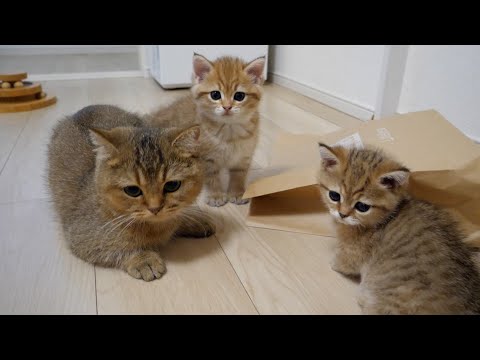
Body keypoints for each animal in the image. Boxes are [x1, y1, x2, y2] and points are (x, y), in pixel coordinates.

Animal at [47, 104, 215, 282]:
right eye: (133, 190)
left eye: (172, 185)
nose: (155, 208)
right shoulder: (81, 237)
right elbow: (118, 249)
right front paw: (143, 259)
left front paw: (192, 221)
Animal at [147, 52, 266, 207]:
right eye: (215, 95)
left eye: (239, 96)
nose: (227, 107)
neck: (229, 131)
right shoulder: (206, 159)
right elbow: (212, 178)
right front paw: (215, 196)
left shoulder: (243, 157)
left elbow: (238, 176)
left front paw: (237, 193)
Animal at [316, 143, 480, 316]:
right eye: (334, 196)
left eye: (362, 207)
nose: (342, 214)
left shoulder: (353, 253)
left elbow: (342, 262)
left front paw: (334, 262)